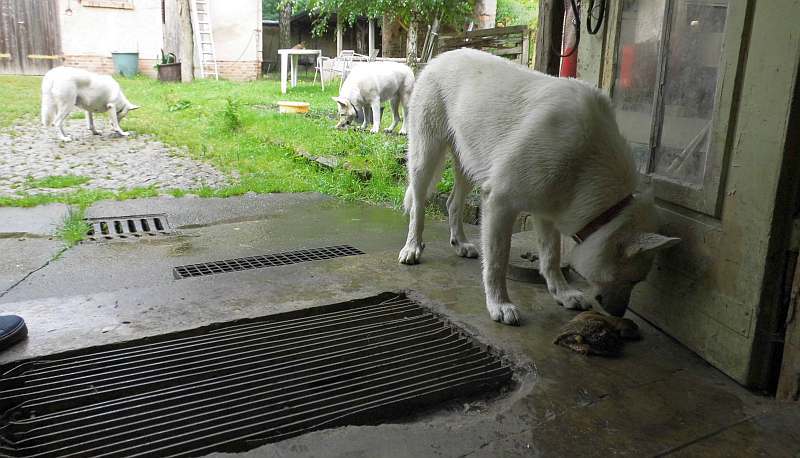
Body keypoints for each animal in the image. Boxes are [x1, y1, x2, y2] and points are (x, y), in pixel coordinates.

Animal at [396, 48, 680, 324]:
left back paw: (460, 243)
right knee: (418, 206)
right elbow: (498, 261)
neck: (586, 158)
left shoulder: (548, 211)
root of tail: (441, 57)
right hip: (426, 157)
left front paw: (562, 293)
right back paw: (412, 247)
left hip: (470, 165)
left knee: (453, 202)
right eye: (634, 279)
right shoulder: (500, 203)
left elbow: (551, 257)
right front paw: (500, 304)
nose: (619, 314)